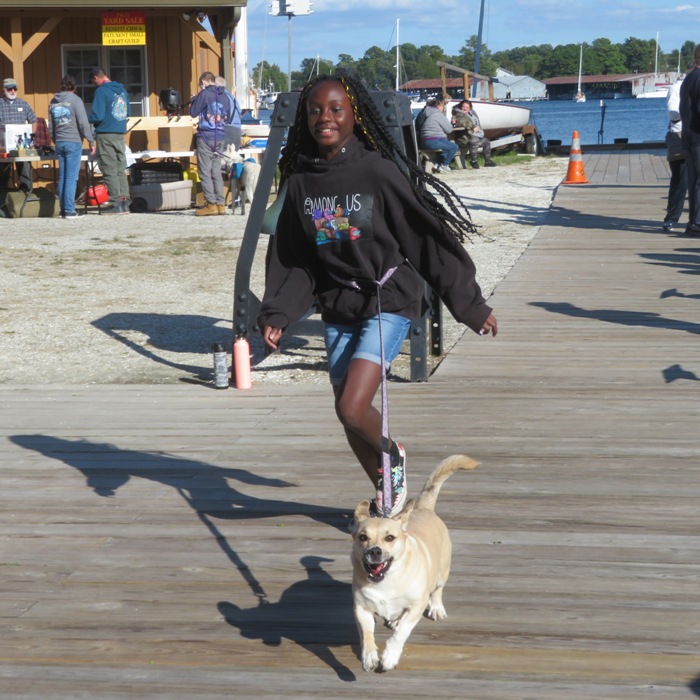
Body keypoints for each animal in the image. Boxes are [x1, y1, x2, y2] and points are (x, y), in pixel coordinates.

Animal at [352, 454, 478, 672]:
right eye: (362, 537)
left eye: (390, 538)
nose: (374, 551)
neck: (385, 581)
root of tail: (422, 507)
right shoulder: (362, 609)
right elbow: (367, 634)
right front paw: (369, 657)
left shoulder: (417, 606)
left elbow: (402, 632)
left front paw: (390, 656)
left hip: (441, 574)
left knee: (437, 591)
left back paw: (436, 609)